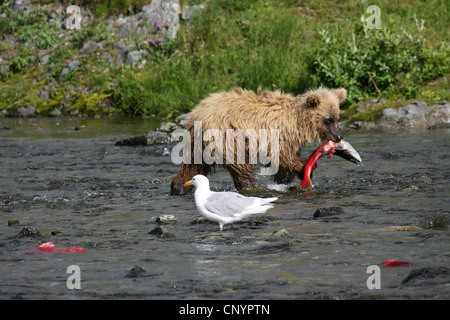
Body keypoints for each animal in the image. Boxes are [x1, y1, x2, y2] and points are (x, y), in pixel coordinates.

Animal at [171, 86, 346, 195]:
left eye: (337, 118)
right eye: (328, 120)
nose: (338, 136)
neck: (297, 123)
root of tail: (197, 114)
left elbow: (283, 165)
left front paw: (285, 181)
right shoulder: (276, 134)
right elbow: (280, 156)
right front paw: (305, 166)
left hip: (198, 143)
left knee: (193, 164)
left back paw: (178, 187)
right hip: (226, 137)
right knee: (240, 165)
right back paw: (250, 187)